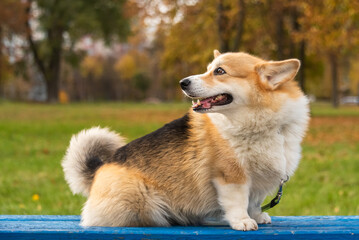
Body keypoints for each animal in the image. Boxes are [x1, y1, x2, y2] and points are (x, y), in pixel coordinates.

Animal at [62, 50, 310, 231]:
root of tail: (98, 171)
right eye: (208, 69)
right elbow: (238, 201)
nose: (183, 82)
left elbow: (255, 201)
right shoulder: (231, 176)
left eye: (220, 71)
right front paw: (242, 221)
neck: (261, 122)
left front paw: (257, 215)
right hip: (144, 200)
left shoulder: (258, 181)